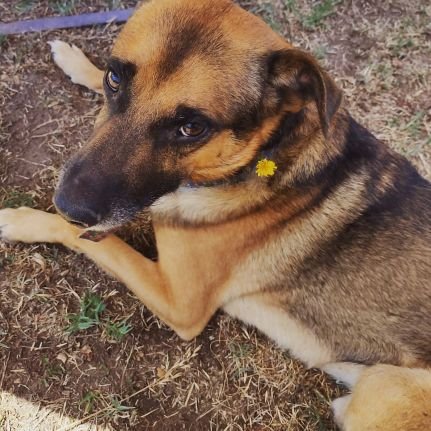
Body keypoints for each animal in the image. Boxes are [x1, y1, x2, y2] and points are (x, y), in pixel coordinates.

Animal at [0, 0, 430, 426]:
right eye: (115, 79)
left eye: (192, 128)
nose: (68, 204)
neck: (261, 155)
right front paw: (76, 61)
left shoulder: (180, 304)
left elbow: (94, 241)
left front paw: (22, 220)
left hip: (384, 387)